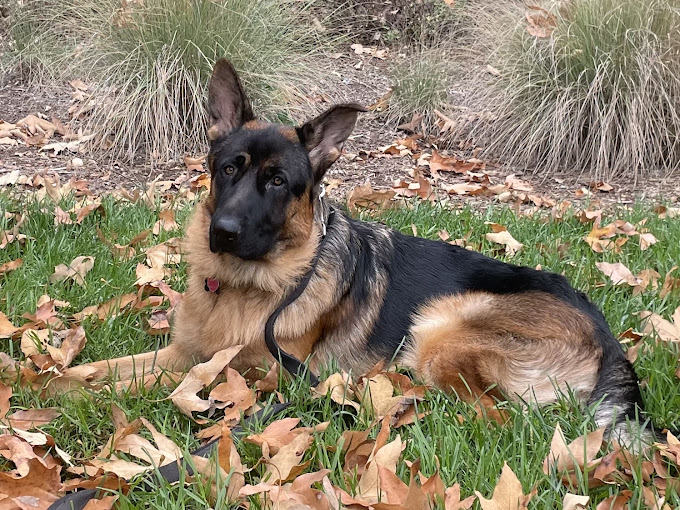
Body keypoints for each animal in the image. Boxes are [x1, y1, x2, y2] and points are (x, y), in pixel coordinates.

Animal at [79, 57, 660, 444]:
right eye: (228, 169)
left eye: (277, 182)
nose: (221, 232)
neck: (251, 286)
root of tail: (609, 339)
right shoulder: (183, 353)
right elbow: (98, 371)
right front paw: (59, 382)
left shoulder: (250, 372)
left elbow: (142, 385)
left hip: (441, 326)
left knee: (492, 417)